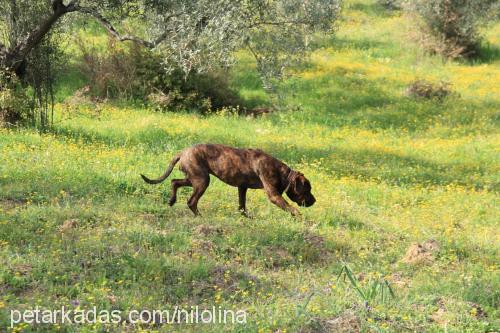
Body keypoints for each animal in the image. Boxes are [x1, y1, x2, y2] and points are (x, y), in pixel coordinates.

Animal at [141, 143, 314, 215]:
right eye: (308, 189)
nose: (314, 200)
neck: (284, 174)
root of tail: (182, 152)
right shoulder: (274, 195)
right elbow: (290, 207)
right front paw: (299, 216)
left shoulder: (242, 188)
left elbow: (242, 206)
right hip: (202, 181)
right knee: (191, 201)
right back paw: (200, 217)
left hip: (194, 179)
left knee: (174, 182)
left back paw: (171, 201)